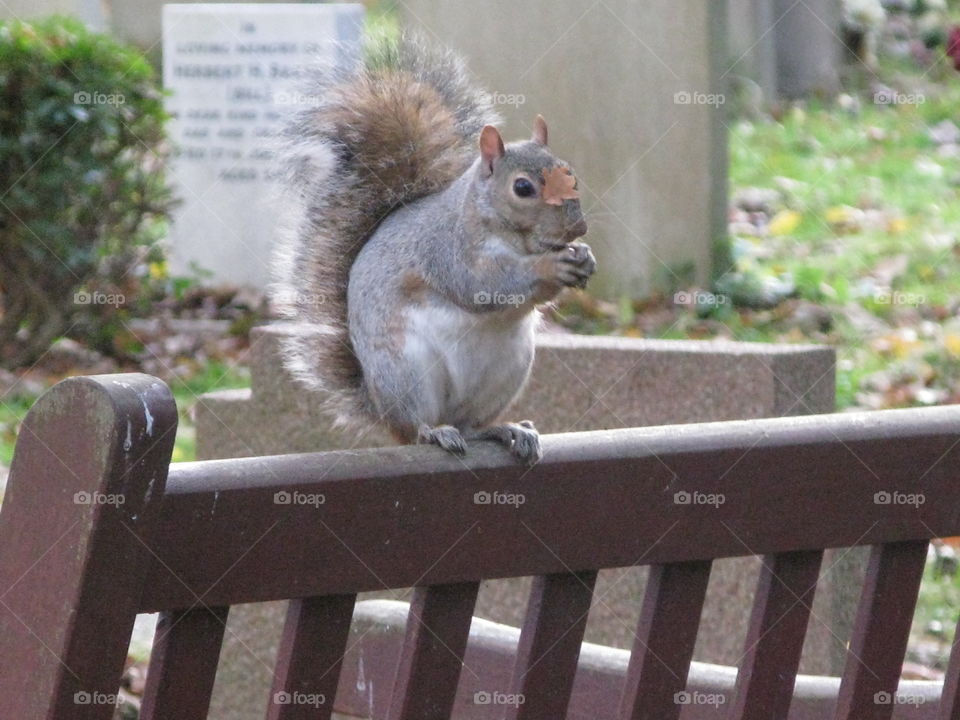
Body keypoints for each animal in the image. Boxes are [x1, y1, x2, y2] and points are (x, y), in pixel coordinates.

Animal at [270, 36, 596, 464]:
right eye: (523, 188)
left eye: (570, 173)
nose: (577, 228)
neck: (511, 236)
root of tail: (380, 409)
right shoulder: (445, 250)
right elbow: (481, 285)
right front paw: (550, 266)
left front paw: (584, 256)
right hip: (407, 372)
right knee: (417, 427)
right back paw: (435, 432)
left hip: (510, 368)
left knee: (471, 424)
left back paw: (506, 429)